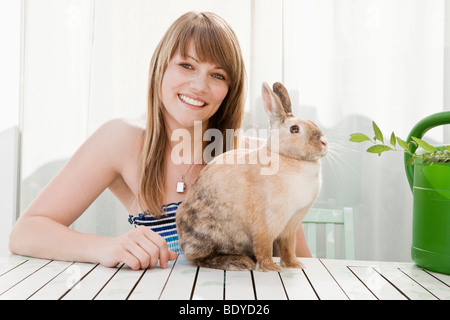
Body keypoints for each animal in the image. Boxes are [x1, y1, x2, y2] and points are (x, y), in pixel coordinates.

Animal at [176, 82, 326, 270]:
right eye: (294, 129)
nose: (324, 142)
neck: (285, 156)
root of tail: (183, 241)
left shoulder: (291, 225)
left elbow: (288, 247)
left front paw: (295, 265)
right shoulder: (267, 223)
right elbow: (264, 247)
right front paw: (271, 268)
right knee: (199, 258)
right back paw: (240, 262)